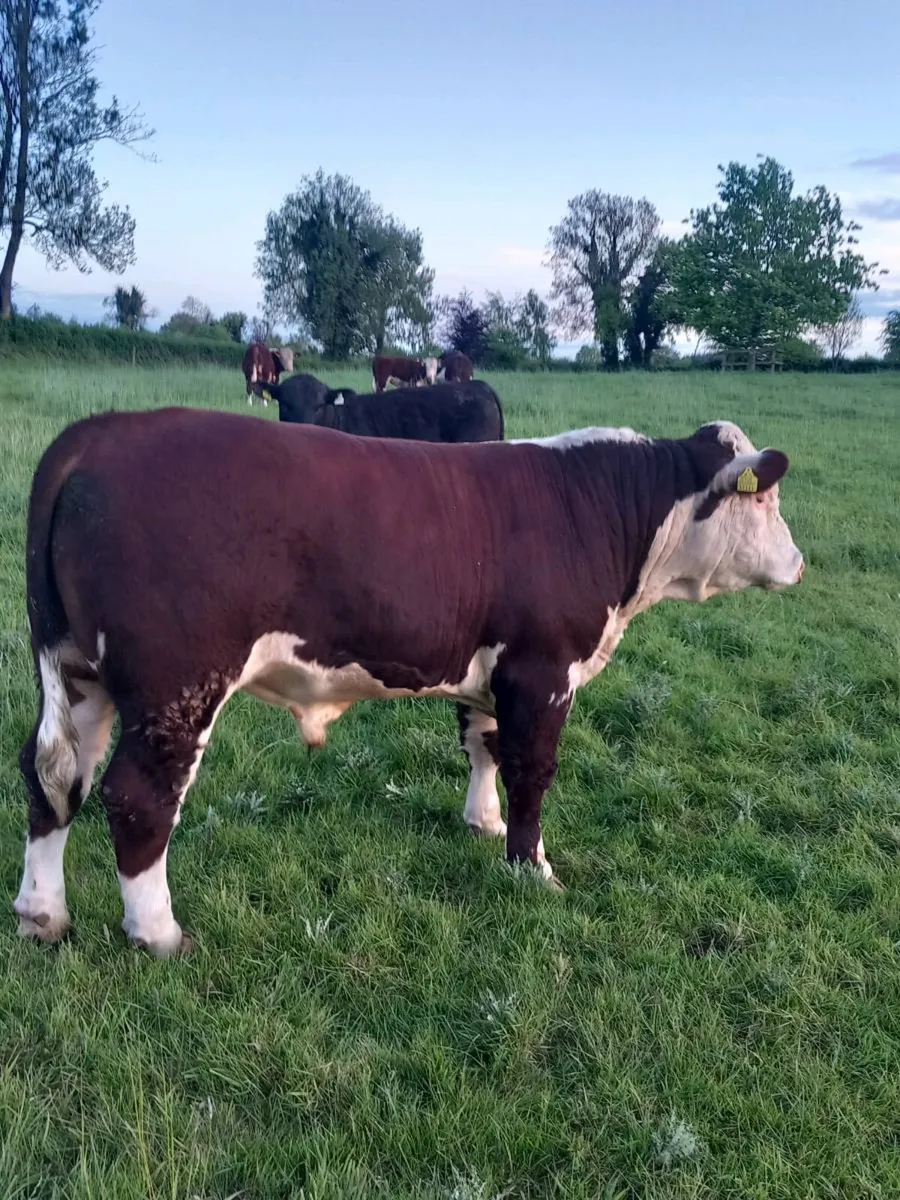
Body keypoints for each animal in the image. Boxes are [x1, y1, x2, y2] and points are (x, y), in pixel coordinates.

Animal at [15, 412, 803, 957]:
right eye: (766, 502)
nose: (799, 563)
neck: (601, 510)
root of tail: (99, 434)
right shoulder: (543, 669)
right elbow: (534, 772)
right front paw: (532, 869)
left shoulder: (491, 671)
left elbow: (484, 746)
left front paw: (483, 823)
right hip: (177, 684)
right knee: (137, 796)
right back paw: (157, 931)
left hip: (73, 671)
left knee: (53, 775)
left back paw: (42, 914)